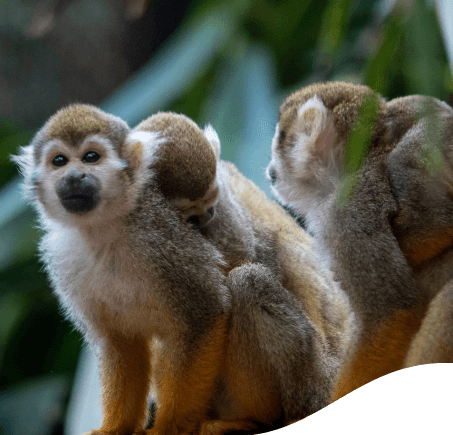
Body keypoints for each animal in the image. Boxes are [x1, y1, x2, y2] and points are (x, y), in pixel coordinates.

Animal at [129, 112, 352, 432]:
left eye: (211, 200)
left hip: (312, 378)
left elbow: (235, 263)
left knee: (246, 281)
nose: (206, 216)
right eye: (189, 215)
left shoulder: (224, 206)